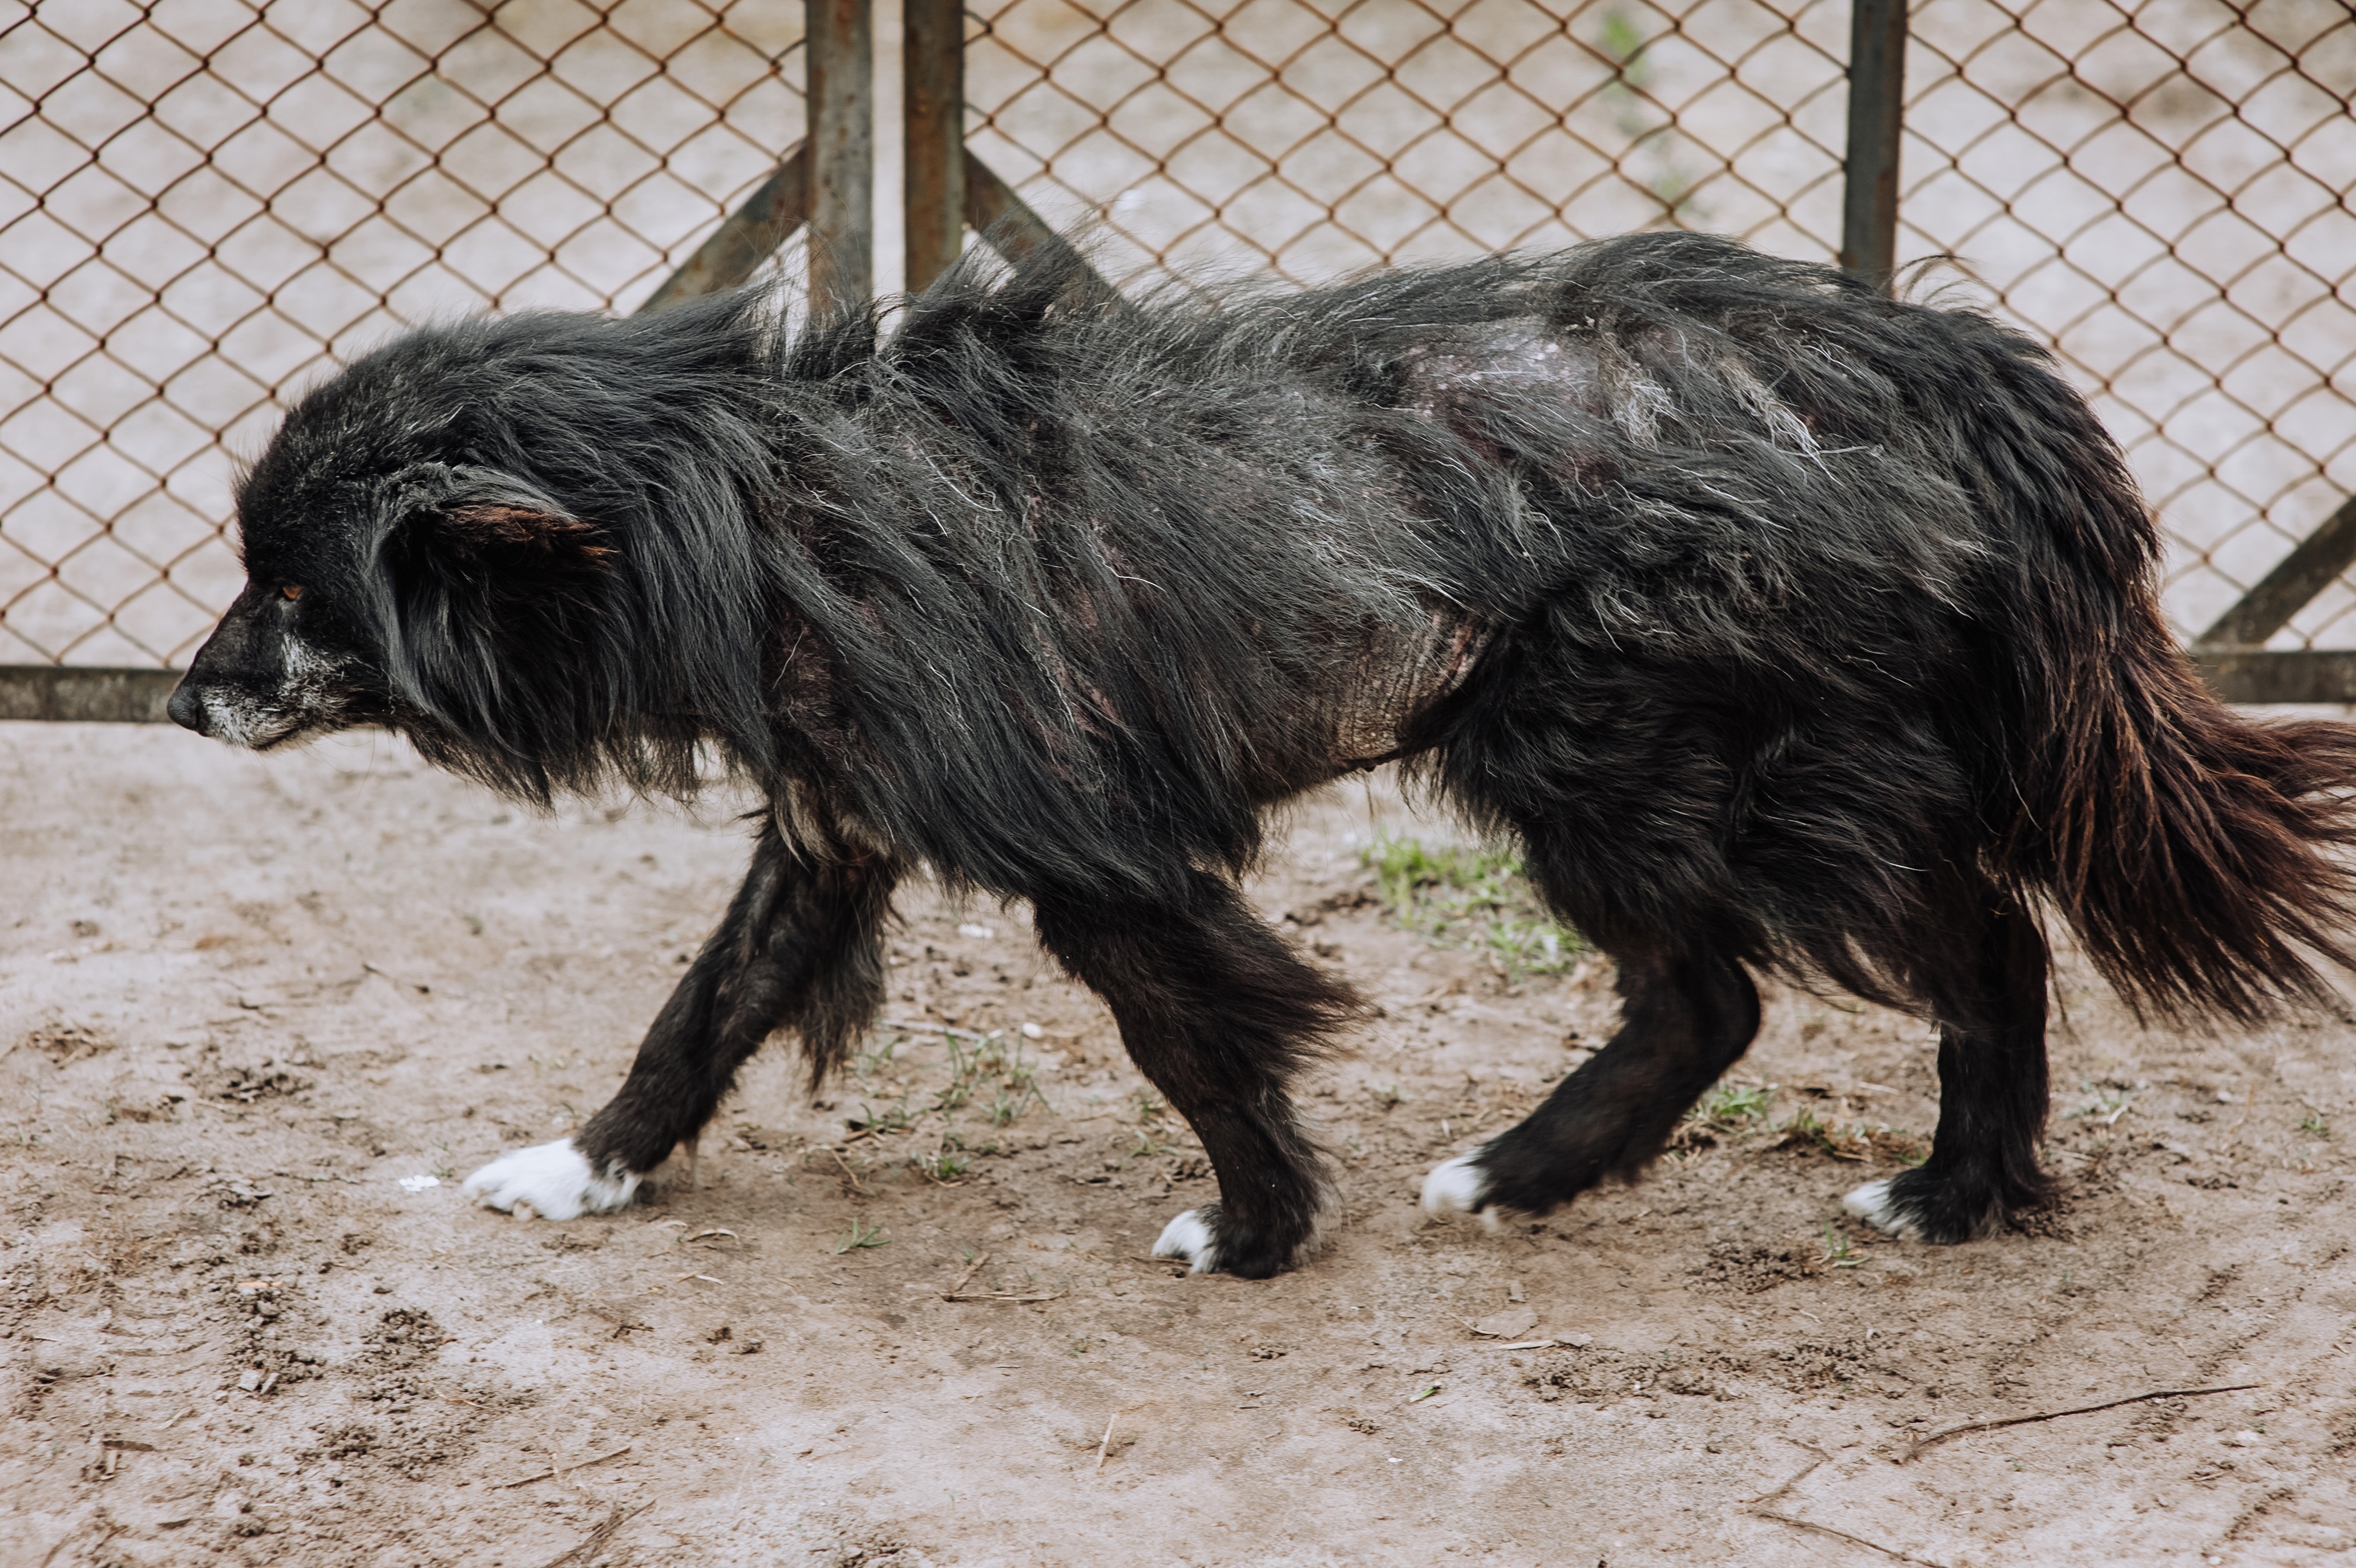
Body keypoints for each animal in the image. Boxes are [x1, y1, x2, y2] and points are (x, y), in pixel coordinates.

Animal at [166, 237, 2356, 1280]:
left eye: (287, 590)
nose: (184, 702)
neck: (744, 503)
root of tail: (1928, 356)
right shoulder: (828, 821)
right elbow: (695, 1012)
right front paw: (583, 1167)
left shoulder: (1092, 859)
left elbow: (1190, 1037)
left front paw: (1253, 1228)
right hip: (1592, 775)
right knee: (1709, 998)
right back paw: (1525, 1170)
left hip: (1663, 765)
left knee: (1972, 947)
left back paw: (1950, 1189)